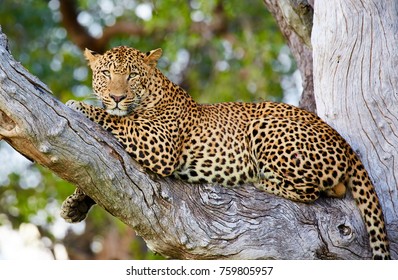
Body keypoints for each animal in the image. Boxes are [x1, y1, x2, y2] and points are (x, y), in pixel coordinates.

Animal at [60, 44, 390, 260]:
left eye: (132, 75)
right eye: (105, 73)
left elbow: (117, 121)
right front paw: (75, 205)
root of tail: (343, 141)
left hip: (264, 125)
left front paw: (77, 105)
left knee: (311, 191)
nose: (116, 96)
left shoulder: (158, 142)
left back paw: (260, 180)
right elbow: (98, 173)